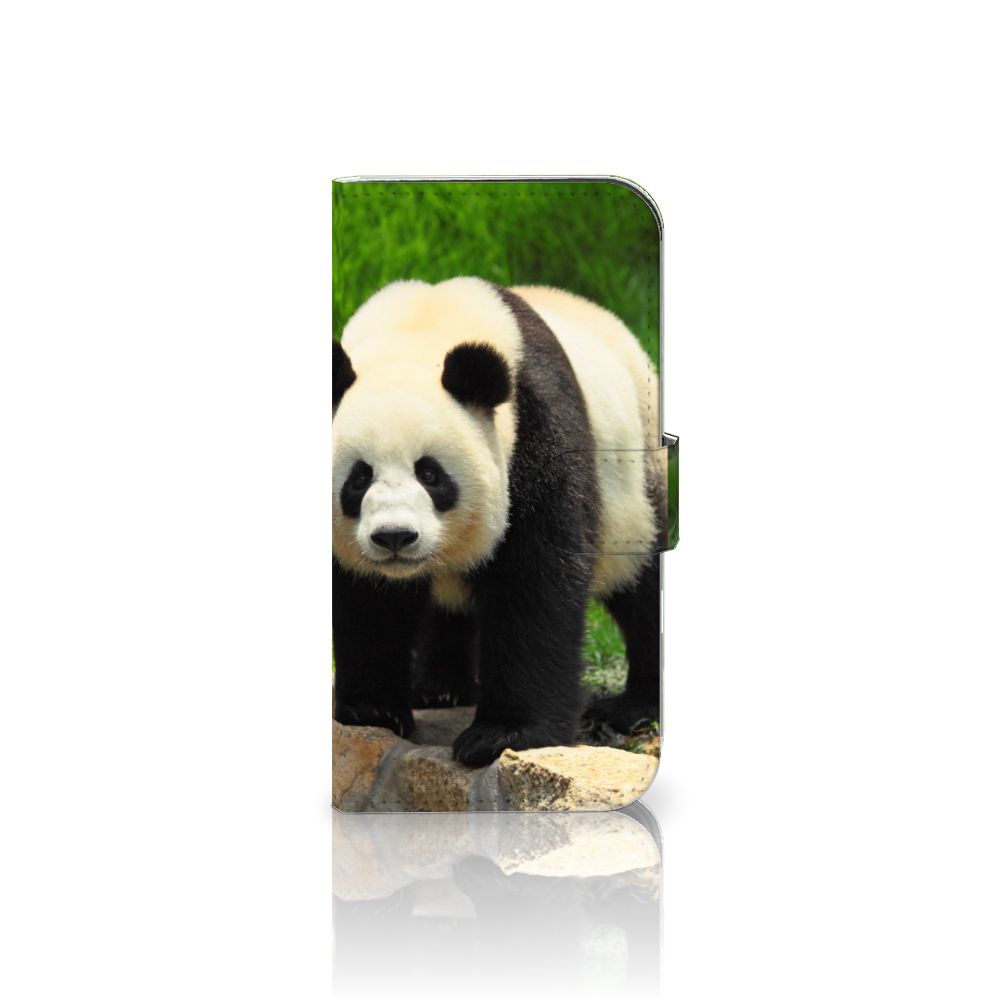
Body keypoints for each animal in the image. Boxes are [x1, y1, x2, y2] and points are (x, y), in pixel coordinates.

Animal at [332, 277, 664, 767]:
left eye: (430, 474)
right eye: (359, 478)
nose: (395, 537)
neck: (418, 331)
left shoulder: (536, 428)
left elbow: (535, 581)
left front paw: (503, 734)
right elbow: (368, 599)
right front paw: (372, 709)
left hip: (636, 478)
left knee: (641, 583)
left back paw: (634, 707)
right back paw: (440, 688)